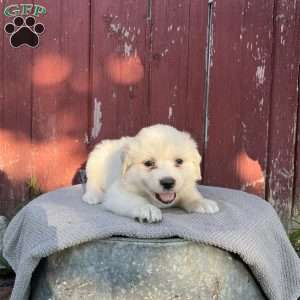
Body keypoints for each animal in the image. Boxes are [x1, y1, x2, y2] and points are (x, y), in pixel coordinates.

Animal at [82, 124, 218, 223]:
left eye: (179, 161)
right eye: (148, 163)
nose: (168, 182)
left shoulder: (186, 187)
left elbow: (191, 194)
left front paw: (202, 202)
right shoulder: (117, 192)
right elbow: (135, 200)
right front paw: (147, 209)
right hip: (95, 160)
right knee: (91, 181)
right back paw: (93, 196)